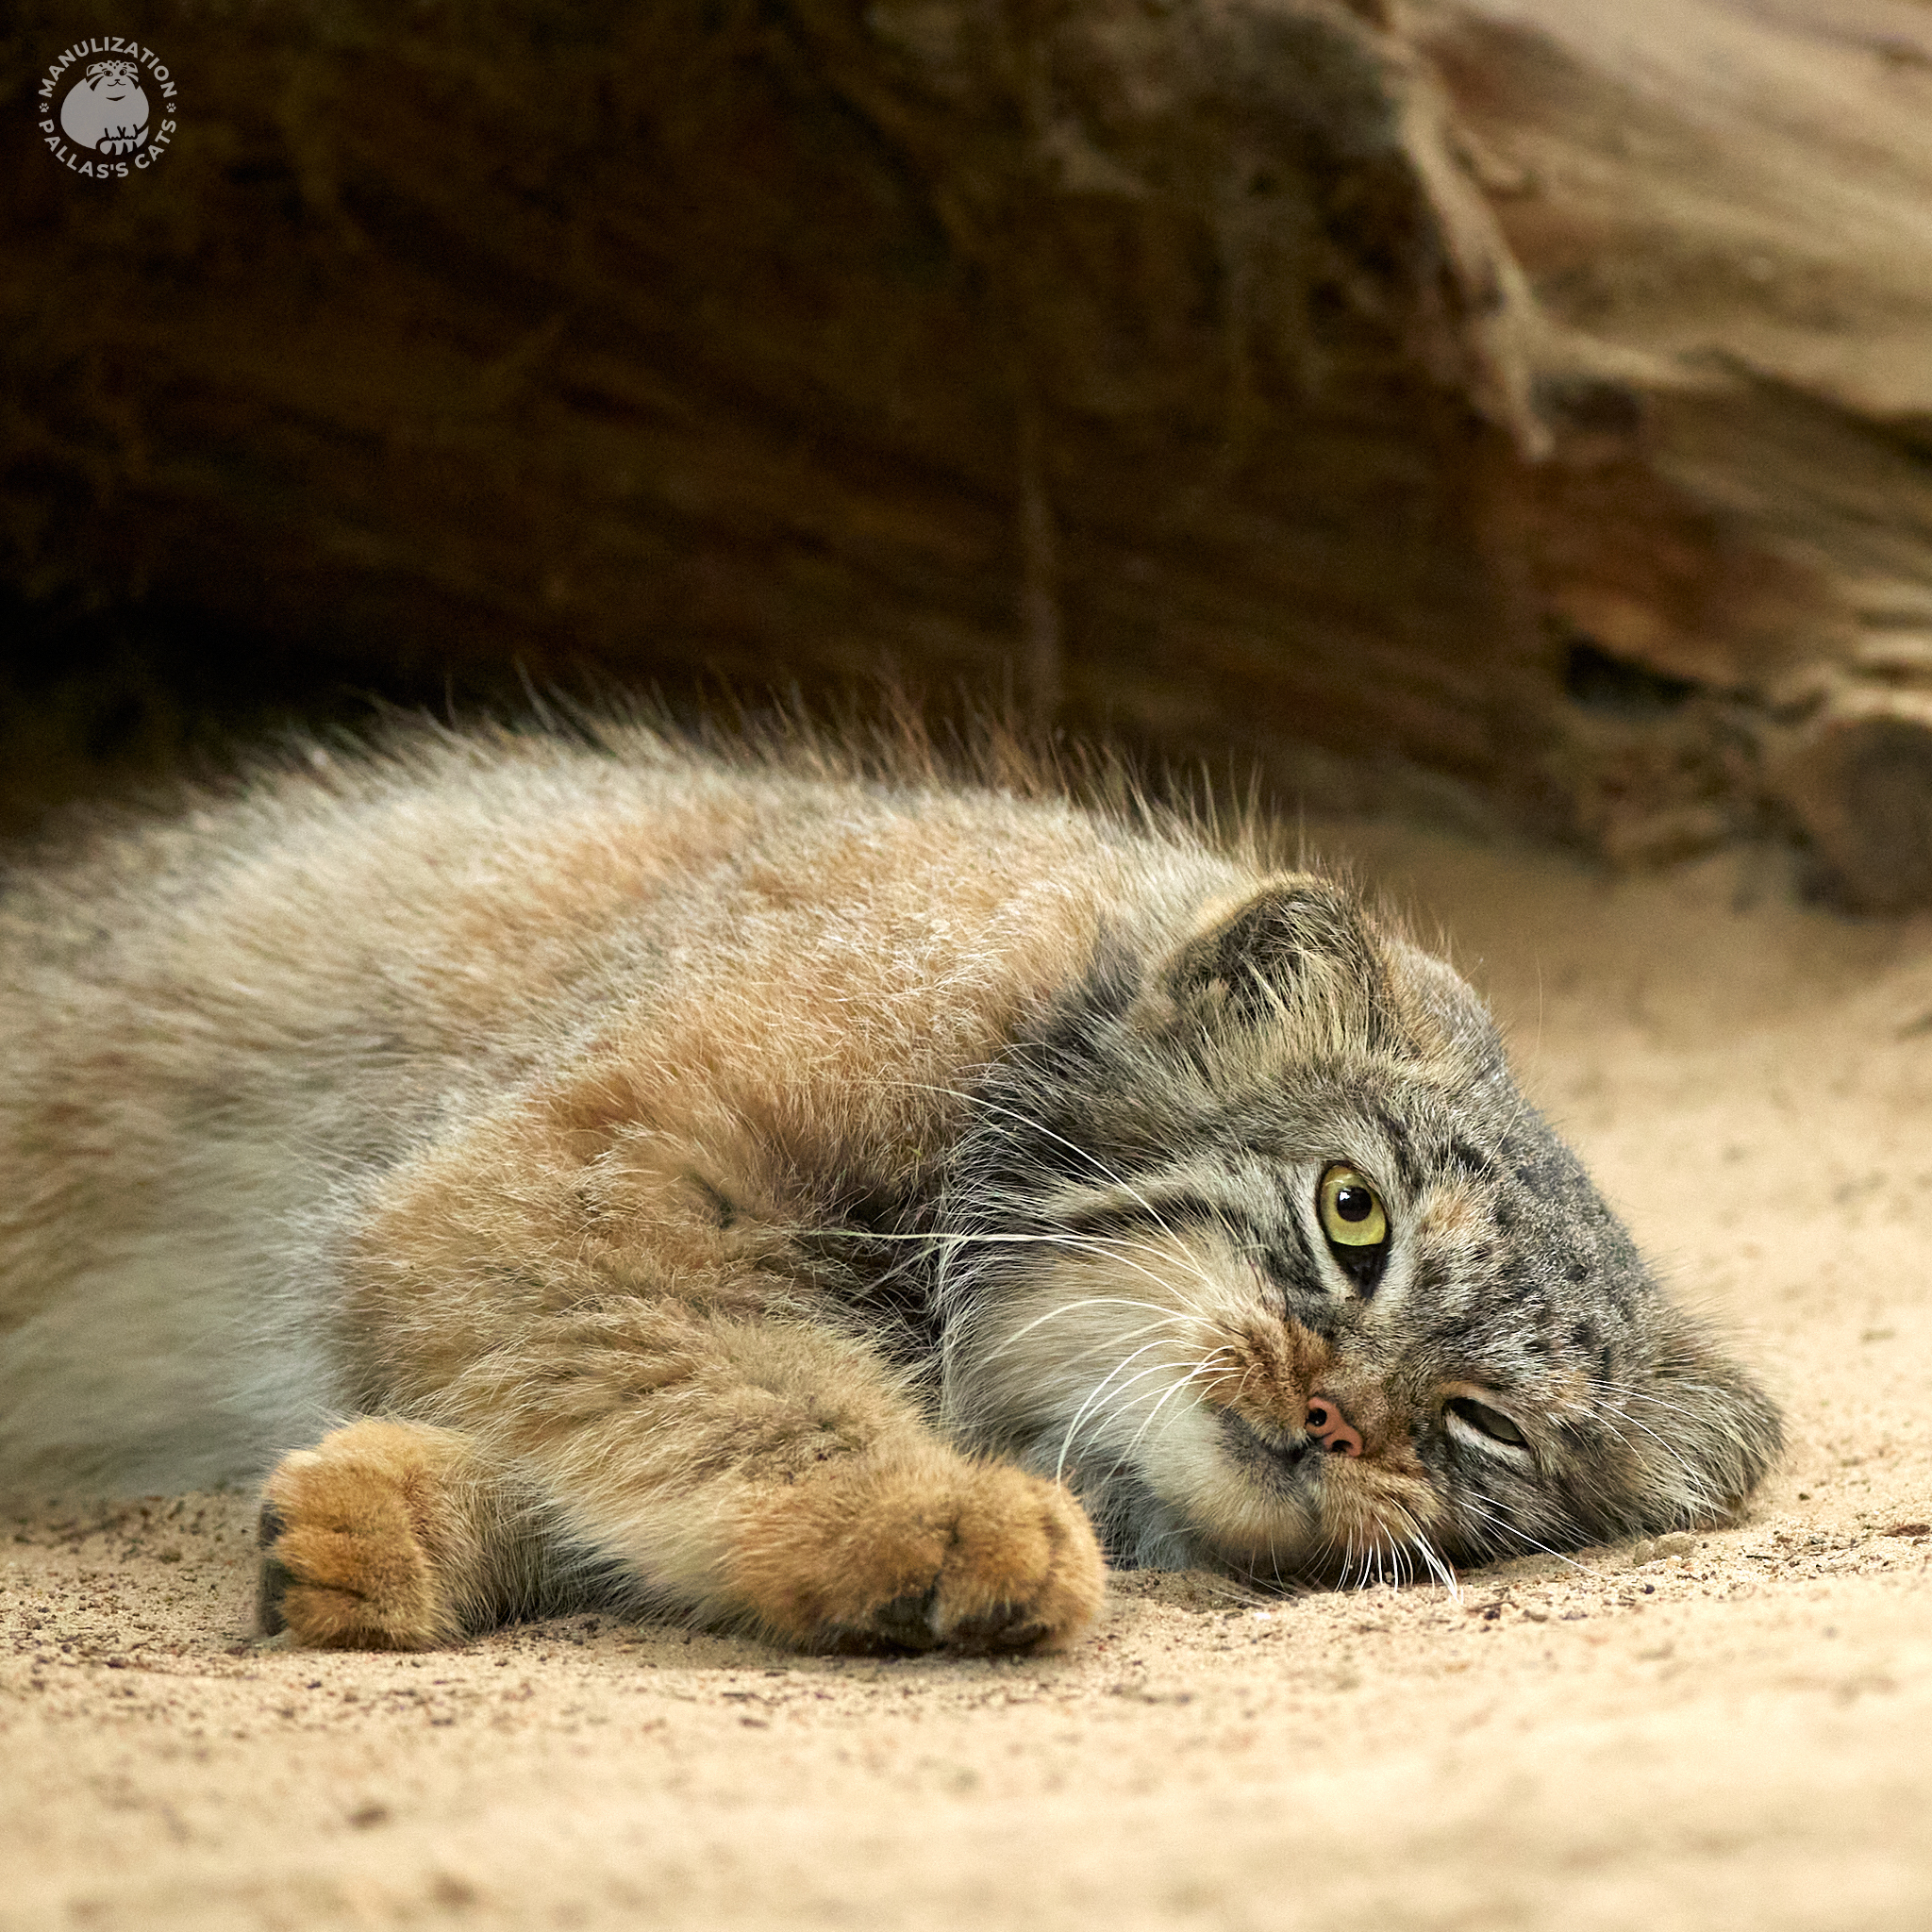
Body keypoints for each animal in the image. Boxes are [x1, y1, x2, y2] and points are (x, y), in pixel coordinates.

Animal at [0, 726, 1777, 1661]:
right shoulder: (576, 1174)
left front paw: (399, 1512)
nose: (1342, 1420)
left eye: (1484, 1425)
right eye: (1354, 1215)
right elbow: (740, 1379)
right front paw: (926, 1510)